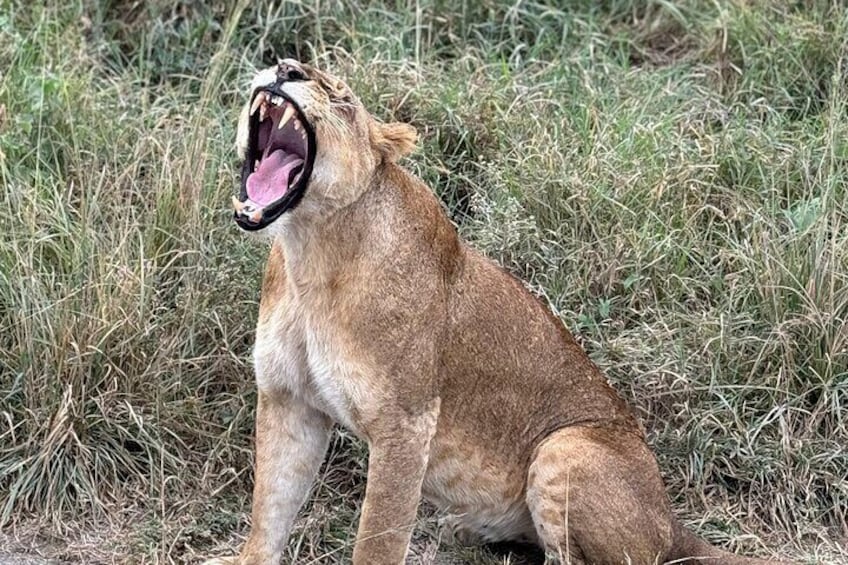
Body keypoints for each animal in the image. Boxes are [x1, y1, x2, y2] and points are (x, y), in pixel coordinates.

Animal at [204, 59, 782, 564]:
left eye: (340, 96)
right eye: (287, 61)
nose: (285, 70)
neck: (311, 248)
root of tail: (671, 522)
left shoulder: (406, 423)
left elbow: (377, 538)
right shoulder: (288, 398)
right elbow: (270, 507)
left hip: (564, 448)